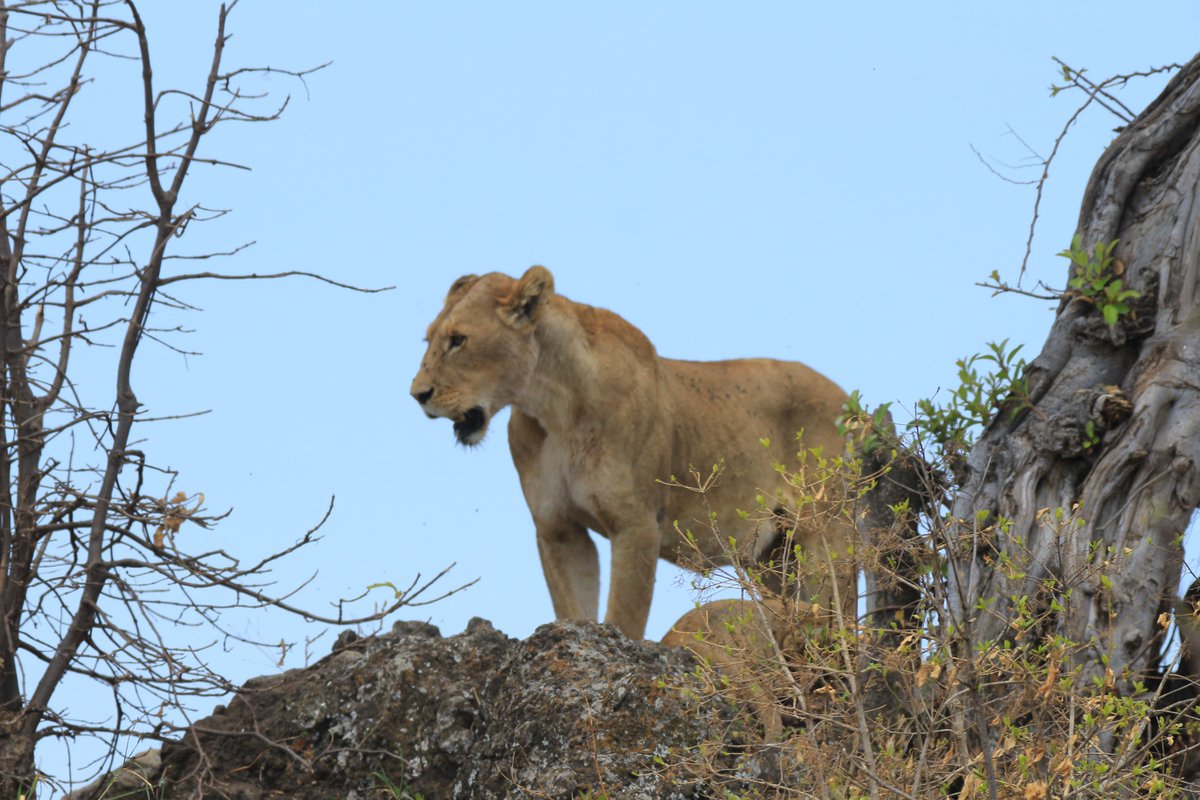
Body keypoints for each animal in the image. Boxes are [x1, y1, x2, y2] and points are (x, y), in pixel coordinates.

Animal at [410, 266, 854, 640]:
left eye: (458, 341)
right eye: (428, 340)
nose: (417, 395)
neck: (555, 408)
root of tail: (849, 402)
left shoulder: (636, 523)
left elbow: (625, 616)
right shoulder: (557, 528)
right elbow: (574, 608)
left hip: (828, 538)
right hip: (776, 558)